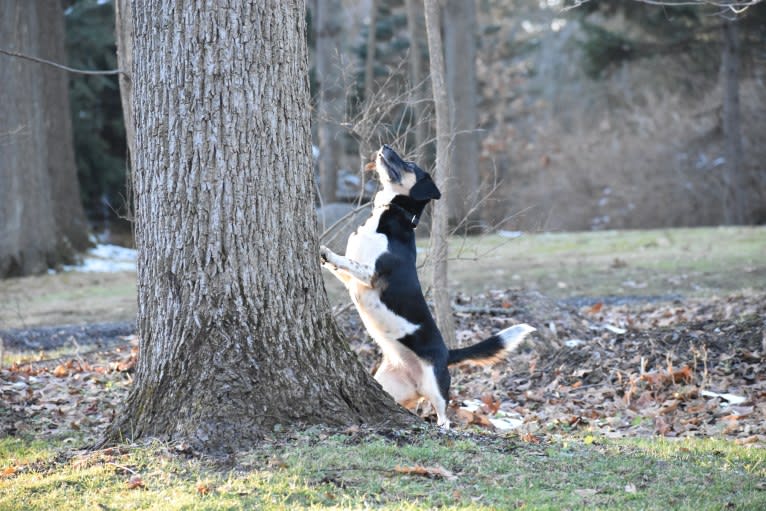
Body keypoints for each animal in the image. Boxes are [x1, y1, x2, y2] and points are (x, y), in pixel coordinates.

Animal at [320, 144, 536, 428]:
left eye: (410, 165)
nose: (385, 147)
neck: (390, 215)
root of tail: (447, 353)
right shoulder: (350, 280)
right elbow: (340, 268)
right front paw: (321, 257)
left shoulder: (371, 274)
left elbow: (348, 262)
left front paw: (326, 251)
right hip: (389, 385)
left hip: (436, 384)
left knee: (445, 415)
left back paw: (444, 429)